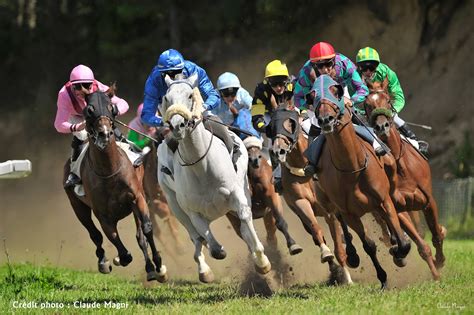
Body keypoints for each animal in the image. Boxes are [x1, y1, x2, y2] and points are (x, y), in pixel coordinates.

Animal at [62, 90, 167, 282]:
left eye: (112, 108)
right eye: (89, 110)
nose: (104, 133)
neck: (109, 171)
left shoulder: (138, 199)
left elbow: (147, 229)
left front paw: (159, 266)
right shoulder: (102, 214)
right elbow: (112, 239)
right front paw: (119, 258)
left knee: (139, 236)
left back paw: (150, 268)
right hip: (77, 206)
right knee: (94, 234)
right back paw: (103, 261)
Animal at [157, 74, 272, 284]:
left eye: (190, 95)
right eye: (166, 98)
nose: (177, 125)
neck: (201, 167)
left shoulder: (237, 195)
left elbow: (246, 220)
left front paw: (262, 261)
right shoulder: (192, 211)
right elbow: (210, 244)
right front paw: (214, 255)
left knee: (244, 228)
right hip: (174, 203)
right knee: (195, 236)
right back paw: (204, 270)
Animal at [268, 107, 358, 286]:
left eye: (291, 124)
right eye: (271, 128)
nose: (278, 151)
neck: (305, 167)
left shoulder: (331, 209)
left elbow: (338, 237)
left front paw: (347, 277)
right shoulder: (300, 202)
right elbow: (316, 229)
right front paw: (326, 254)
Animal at [312, 75, 412, 290]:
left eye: (337, 91)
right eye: (313, 96)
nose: (325, 120)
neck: (352, 168)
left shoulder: (383, 200)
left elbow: (403, 242)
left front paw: (399, 251)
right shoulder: (349, 213)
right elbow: (368, 245)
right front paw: (382, 278)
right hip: (328, 201)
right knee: (340, 222)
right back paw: (352, 254)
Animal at [364, 78, 446, 278]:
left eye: (388, 100)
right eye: (367, 104)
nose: (381, 127)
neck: (400, 166)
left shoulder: (428, 201)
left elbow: (436, 235)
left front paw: (439, 261)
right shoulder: (396, 207)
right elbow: (421, 245)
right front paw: (435, 273)